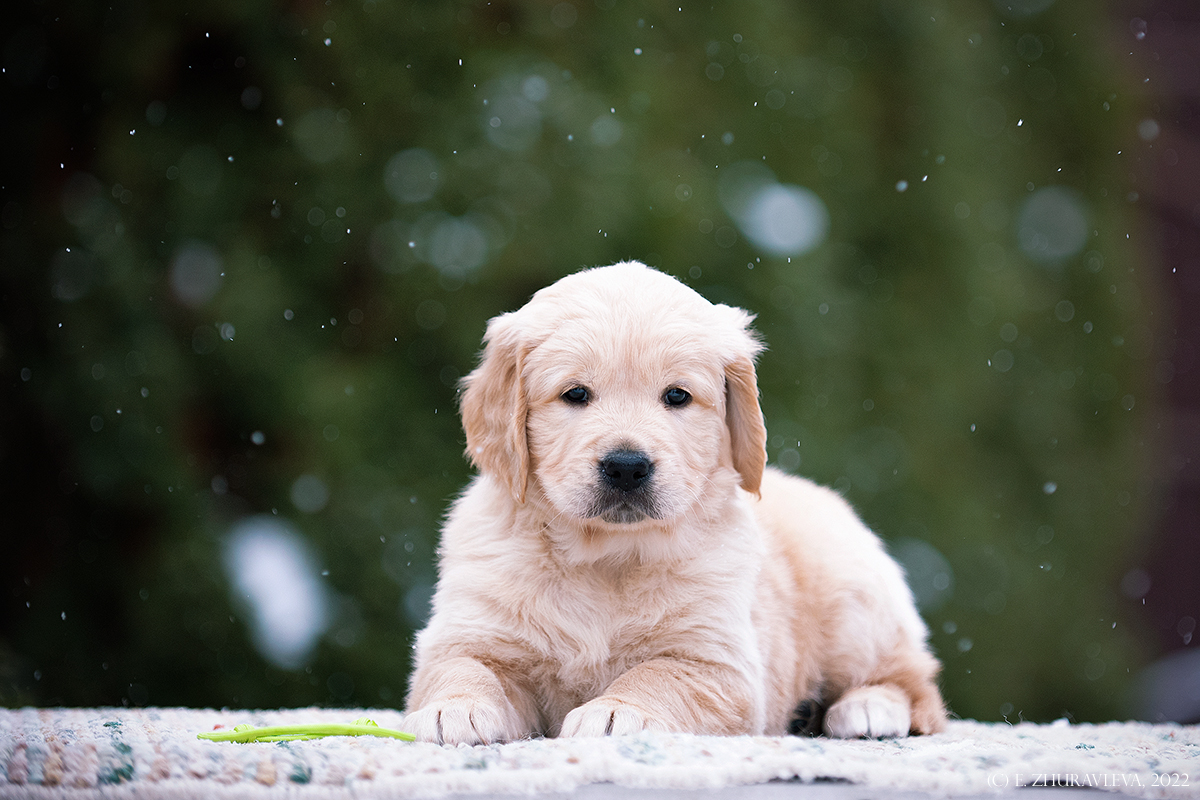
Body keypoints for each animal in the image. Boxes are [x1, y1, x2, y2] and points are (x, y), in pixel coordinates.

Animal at [403, 262, 945, 743]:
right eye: (575, 394)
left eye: (677, 396)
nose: (626, 466)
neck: (605, 558)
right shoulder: (471, 630)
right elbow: (461, 666)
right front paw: (456, 708)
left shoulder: (716, 662)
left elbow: (658, 676)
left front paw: (616, 711)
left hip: (855, 606)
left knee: (914, 679)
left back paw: (867, 708)